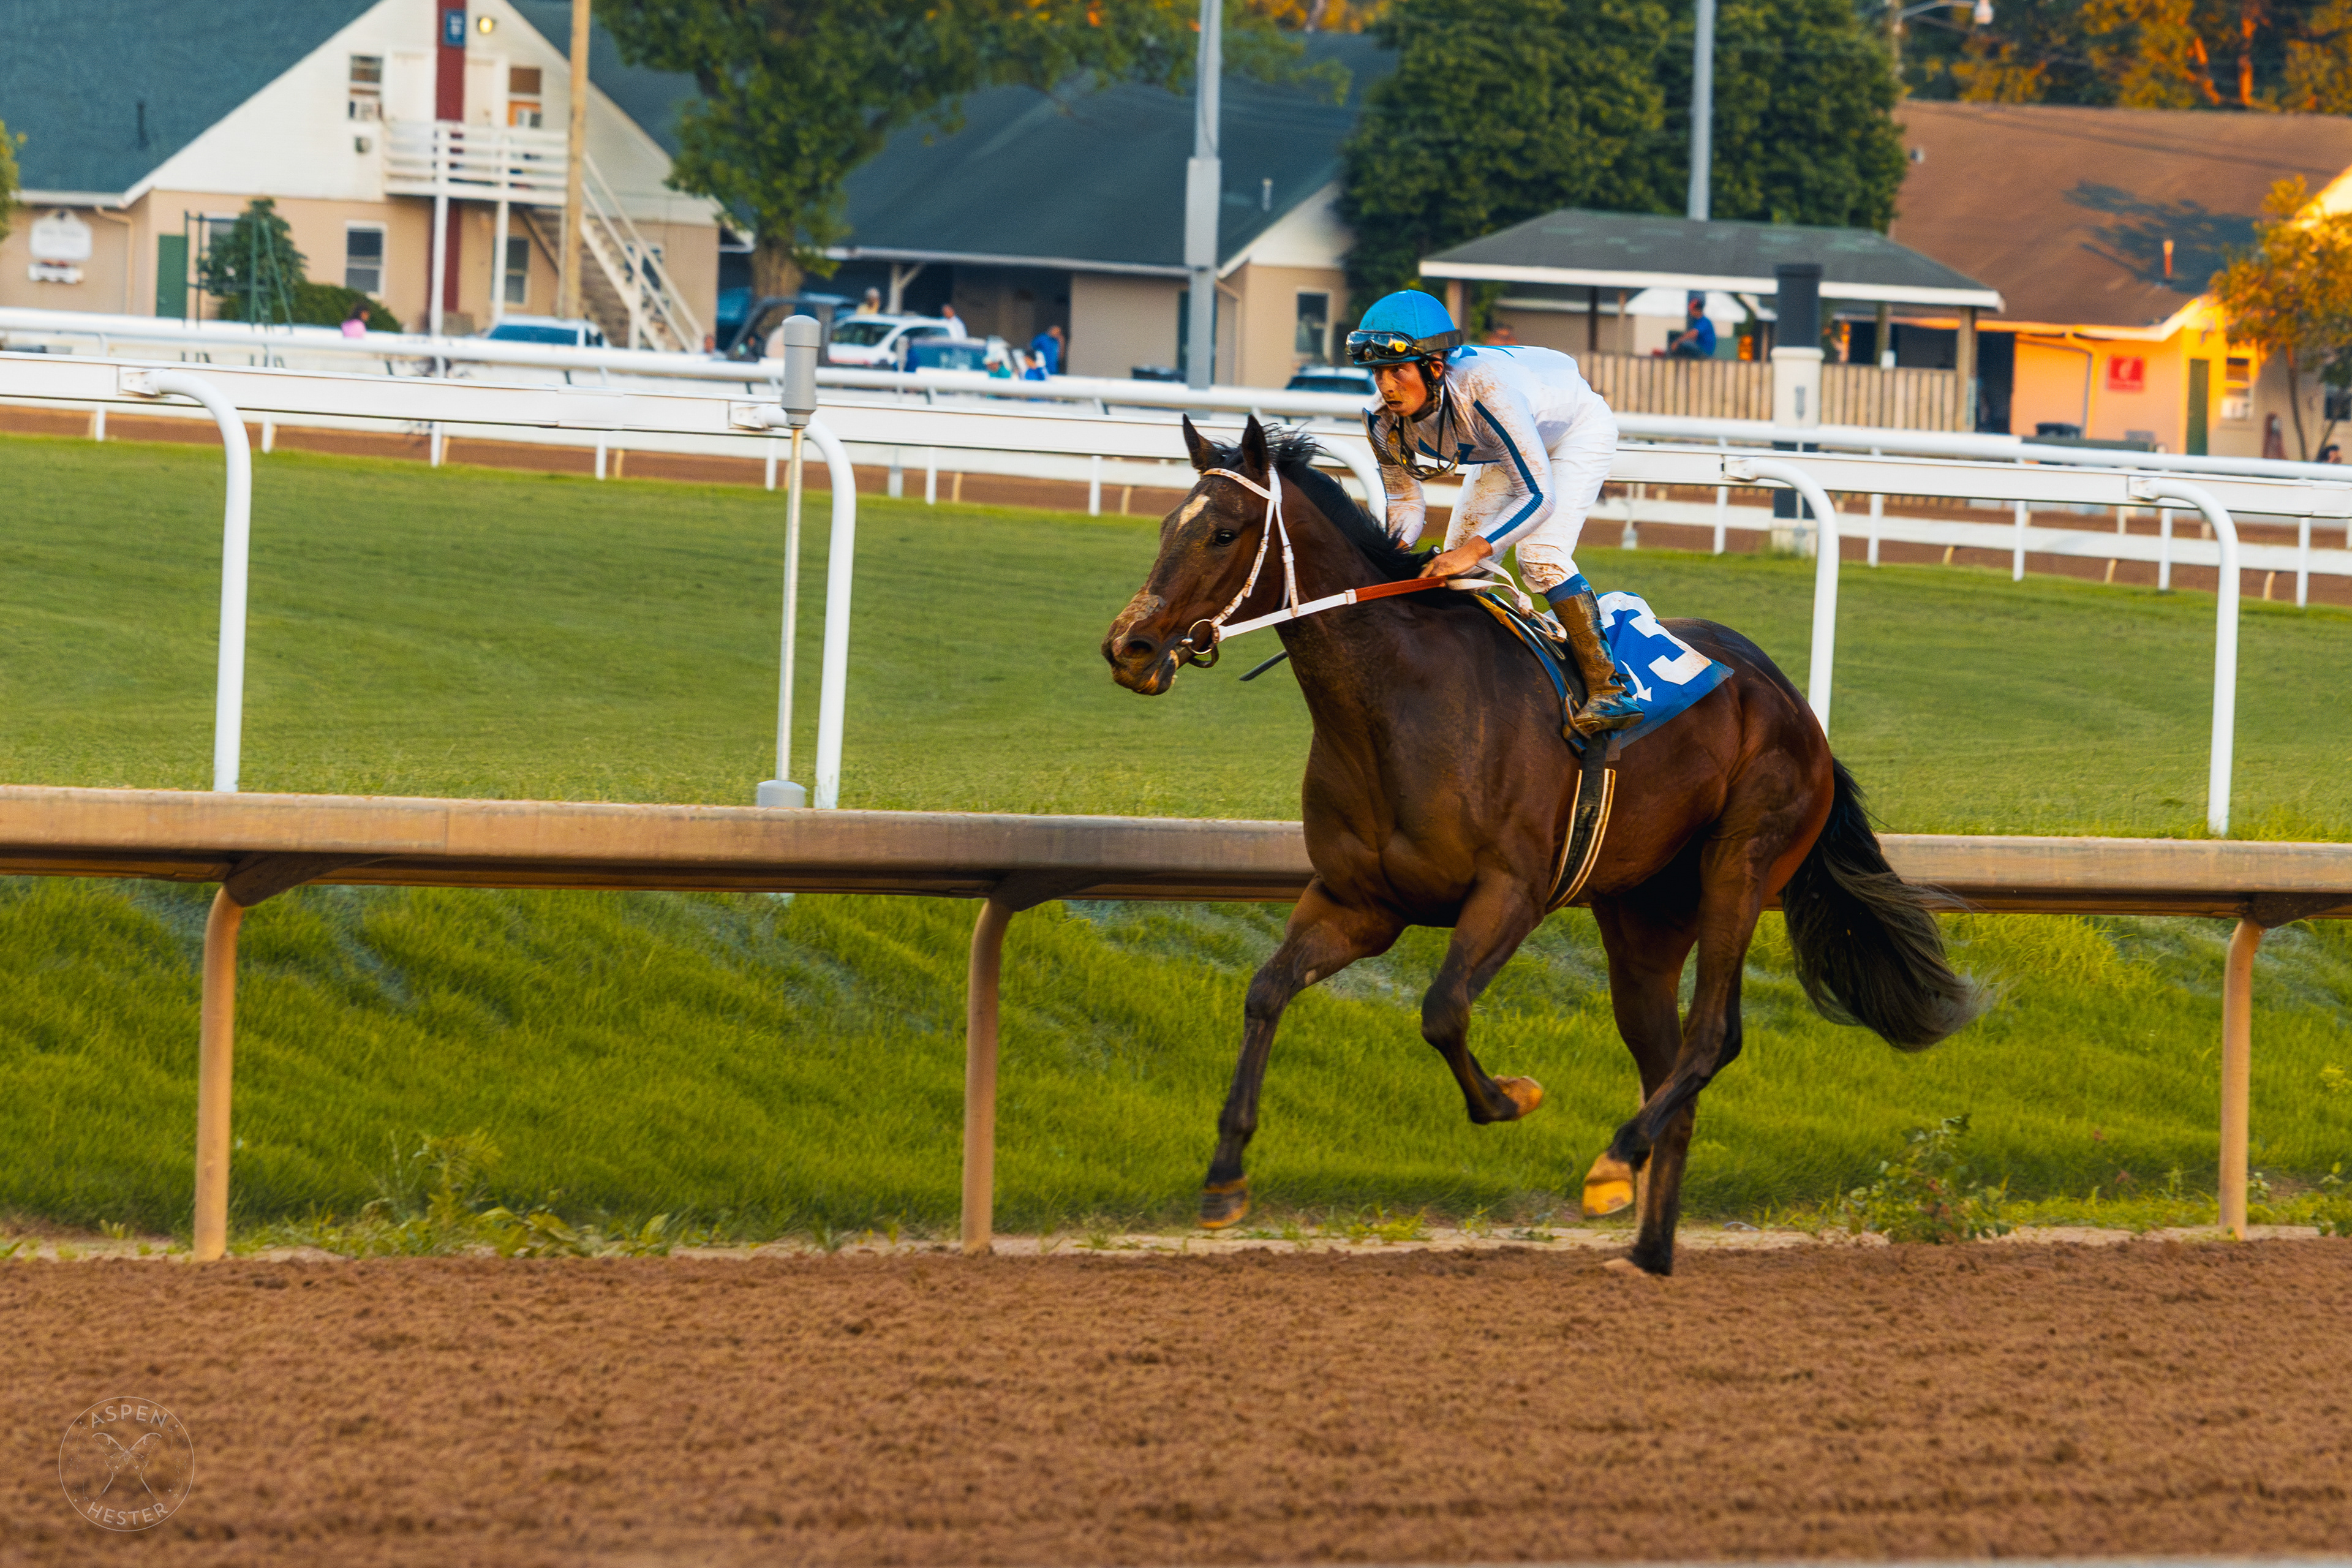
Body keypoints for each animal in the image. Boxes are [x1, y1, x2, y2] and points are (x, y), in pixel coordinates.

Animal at [1100, 416, 1983, 1276]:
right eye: (1167, 525)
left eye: (1223, 531)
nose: (1129, 647)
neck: (1400, 700)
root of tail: (1794, 706)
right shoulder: (1357, 902)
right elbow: (1266, 991)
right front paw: (1225, 1176)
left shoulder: (1511, 892)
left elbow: (1442, 1010)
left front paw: (1511, 1096)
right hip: (1643, 914)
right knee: (1666, 1057)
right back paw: (1649, 1249)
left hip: (1743, 863)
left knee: (1711, 1038)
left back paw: (1616, 1160)